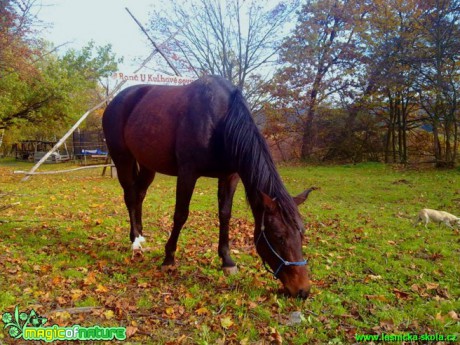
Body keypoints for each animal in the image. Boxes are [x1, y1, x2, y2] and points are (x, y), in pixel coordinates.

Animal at [103, 75, 312, 296]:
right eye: (279, 237)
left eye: (302, 233)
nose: (302, 290)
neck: (221, 120)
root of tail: (116, 100)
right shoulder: (188, 173)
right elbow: (180, 215)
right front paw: (169, 259)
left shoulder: (230, 177)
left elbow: (225, 215)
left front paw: (227, 261)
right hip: (122, 159)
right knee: (130, 196)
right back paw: (135, 240)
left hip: (147, 164)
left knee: (140, 194)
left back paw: (141, 236)